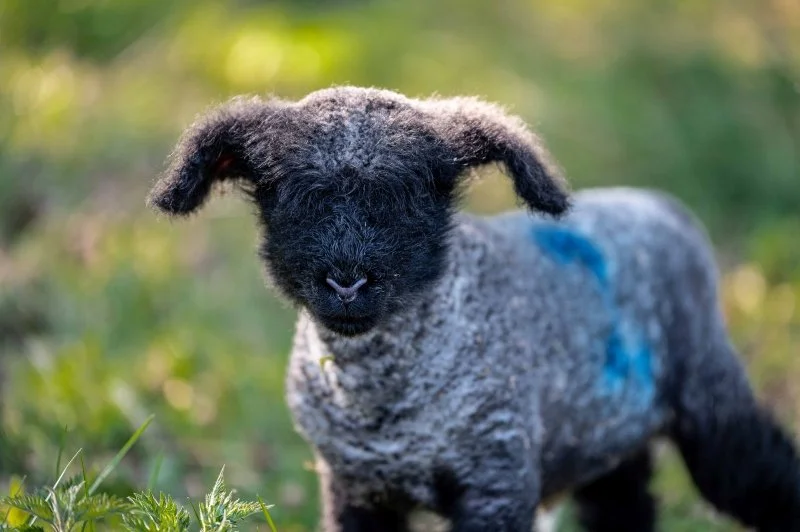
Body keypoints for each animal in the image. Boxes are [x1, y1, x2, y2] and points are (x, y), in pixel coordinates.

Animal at [148, 86, 800, 532]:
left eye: (408, 202)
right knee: (625, 503)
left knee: (764, 473)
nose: (347, 282)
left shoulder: (496, 475)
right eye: (294, 201)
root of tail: (664, 207)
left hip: (712, 403)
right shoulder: (354, 488)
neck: (382, 406)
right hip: (606, 433)